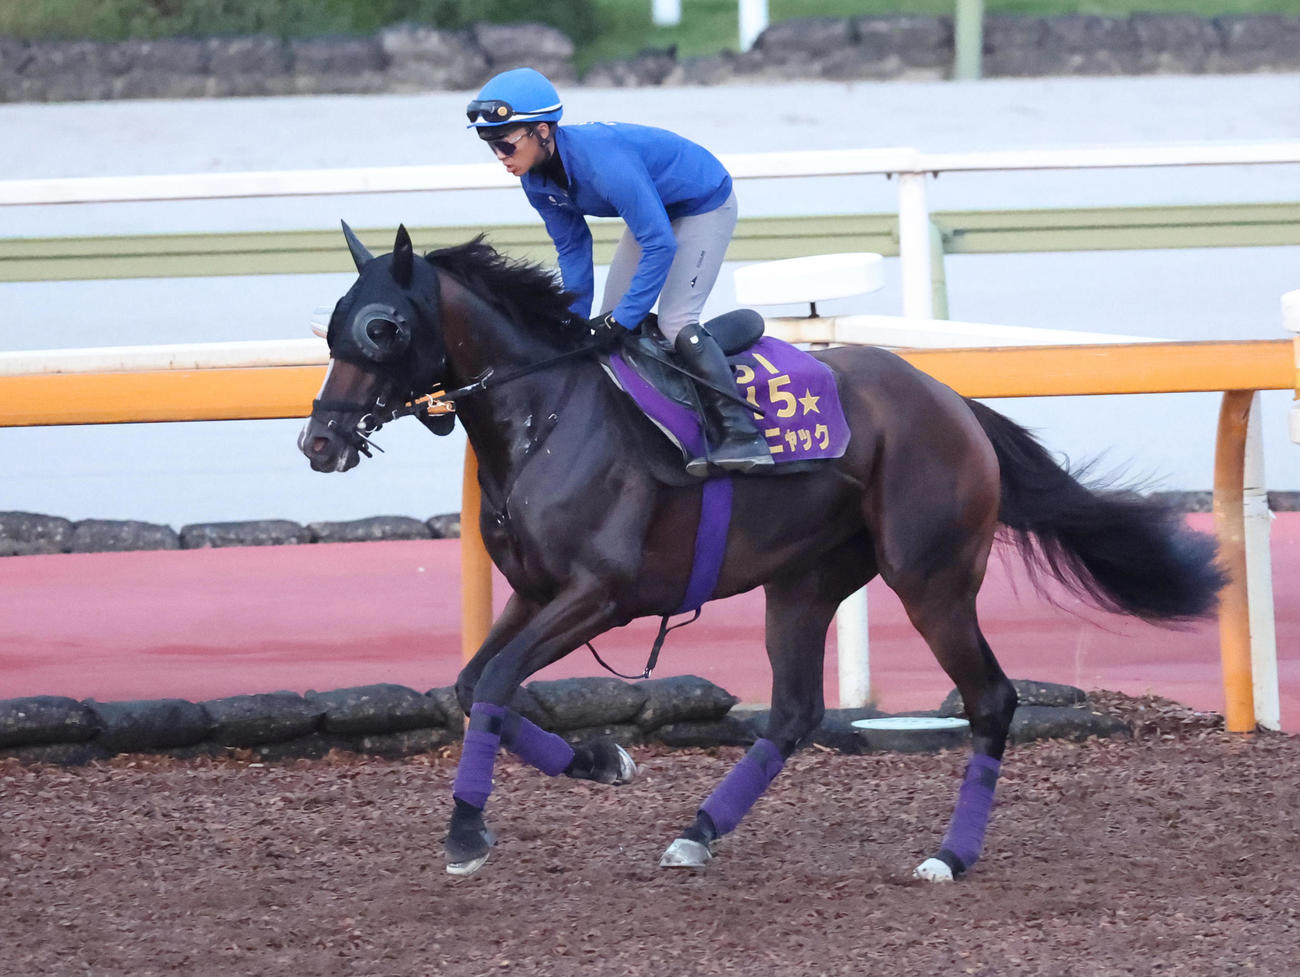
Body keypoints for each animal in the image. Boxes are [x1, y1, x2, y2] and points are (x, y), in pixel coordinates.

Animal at [298, 224, 1225, 880]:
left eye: (382, 326)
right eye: (330, 324)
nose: (320, 442)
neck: (545, 414)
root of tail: (952, 399)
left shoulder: (601, 592)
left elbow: (491, 681)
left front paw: (467, 830)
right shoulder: (535, 591)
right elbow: (468, 685)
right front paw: (602, 759)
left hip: (930, 578)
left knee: (991, 699)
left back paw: (949, 855)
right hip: (804, 584)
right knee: (795, 712)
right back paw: (699, 831)